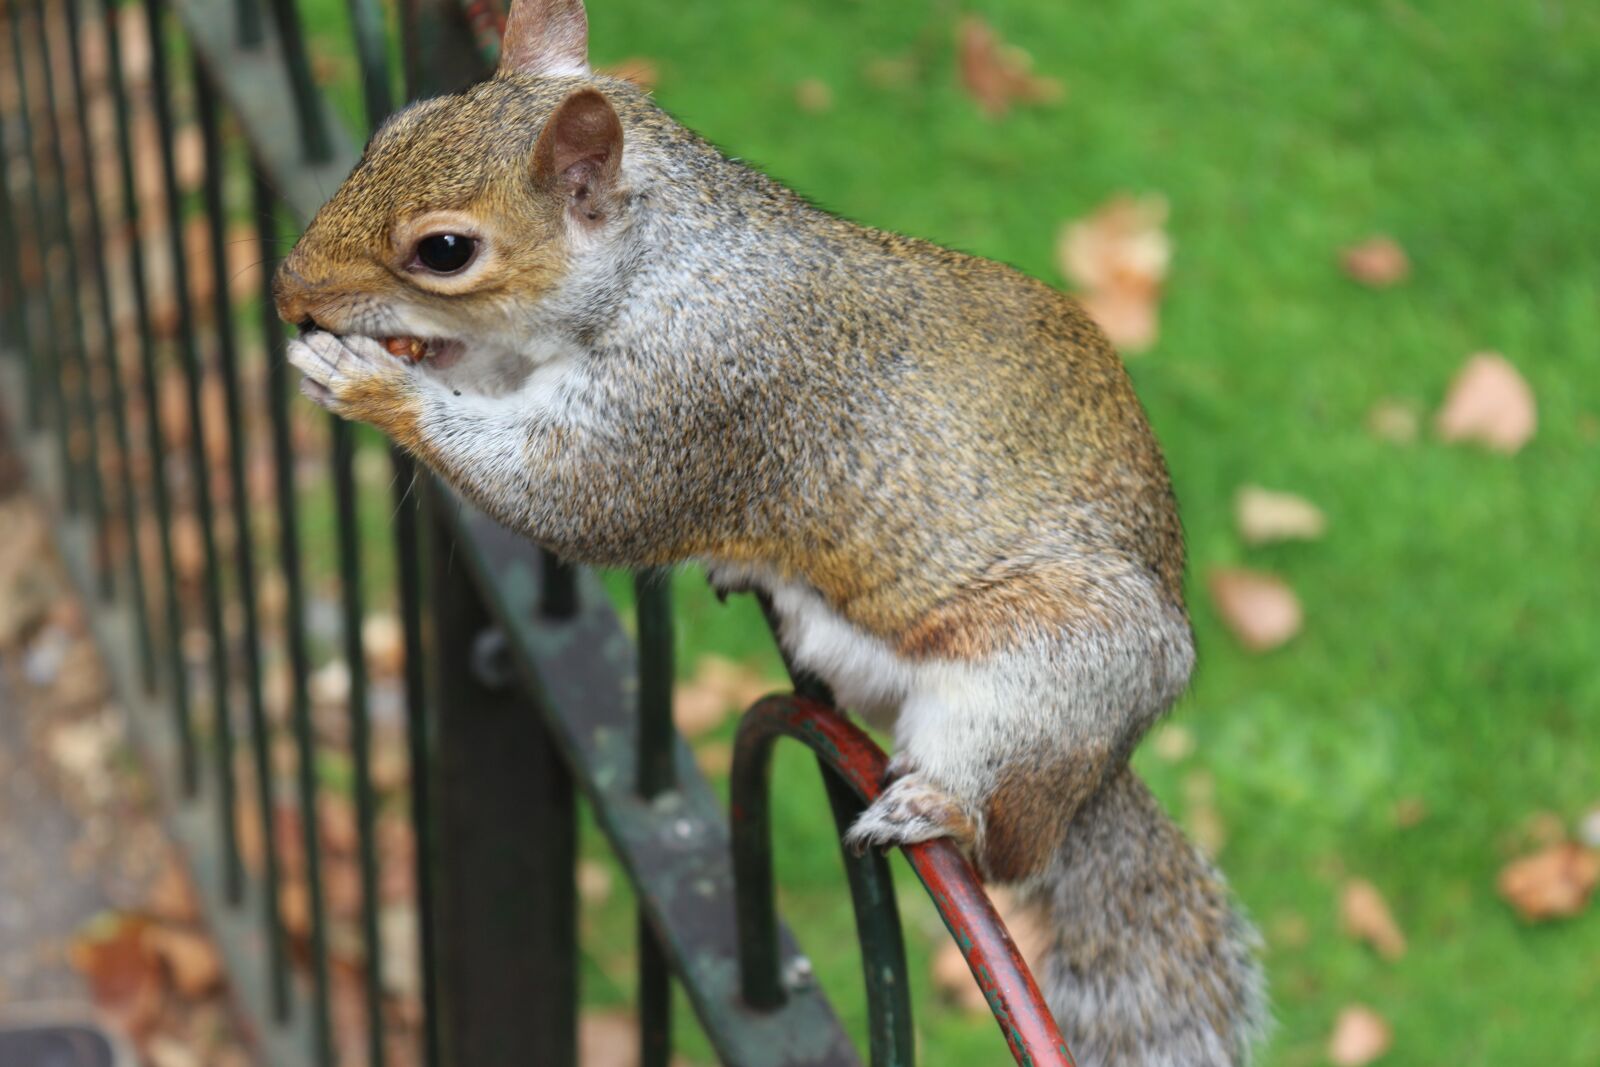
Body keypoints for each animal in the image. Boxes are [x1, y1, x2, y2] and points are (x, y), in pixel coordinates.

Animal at [275, 1, 1265, 1062]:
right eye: (392, 130)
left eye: (446, 251)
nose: (289, 290)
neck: (658, 260)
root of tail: (1101, 771)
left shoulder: (692, 396)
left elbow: (574, 498)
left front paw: (370, 381)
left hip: (1041, 680)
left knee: (1003, 839)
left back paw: (935, 805)